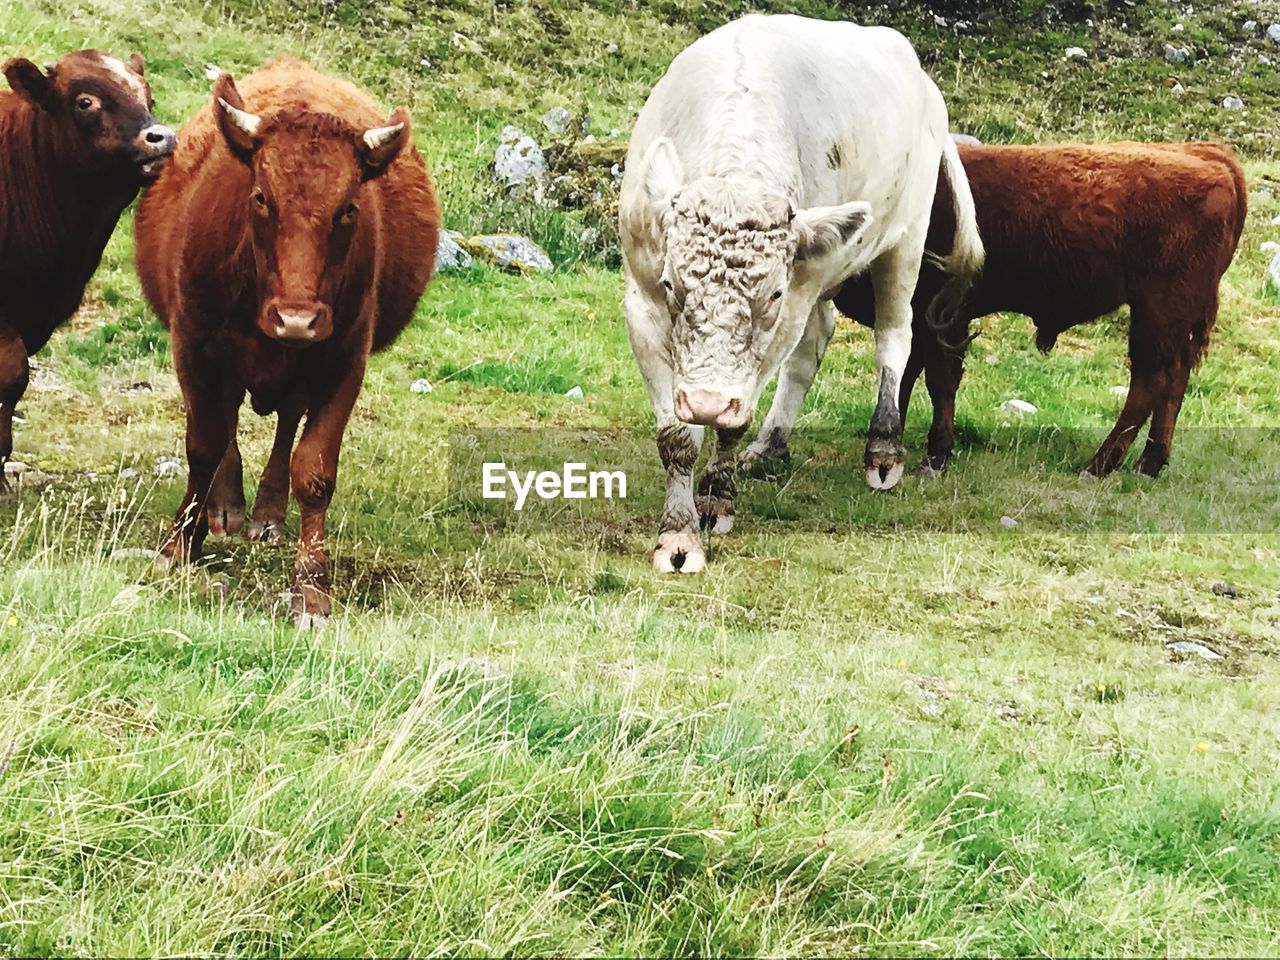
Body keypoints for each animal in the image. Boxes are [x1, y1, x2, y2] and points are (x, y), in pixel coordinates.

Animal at [136, 60, 440, 632]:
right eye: (260, 196)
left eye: (348, 208)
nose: (296, 319)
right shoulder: (193, 344)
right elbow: (204, 445)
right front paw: (180, 545)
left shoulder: (344, 361)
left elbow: (314, 470)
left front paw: (311, 589)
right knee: (226, 423)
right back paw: (226, 507)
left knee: (284, 423)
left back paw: (268, 515)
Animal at [616, 13, 977, 570]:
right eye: (672, 284)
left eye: (772, 295)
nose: (706, 401)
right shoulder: (641, 303)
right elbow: (677, 437)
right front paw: (678, 536)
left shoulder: (791, 308)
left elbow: (732, 423)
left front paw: (716, 501)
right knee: (814, 347)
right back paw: (772, 444)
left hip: (906, 240)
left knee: (894, 339)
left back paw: (883, 448)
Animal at [747, 142, 1244, 481]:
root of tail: (1206, 154)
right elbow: (906, 376)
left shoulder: (939, 315)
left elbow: (937, 381)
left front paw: (935, 453)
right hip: (1174, 321)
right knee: (1173, 383)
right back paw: (1150, 462)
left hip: (1158, 313)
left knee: (1150, 383)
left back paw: (1101, 463)